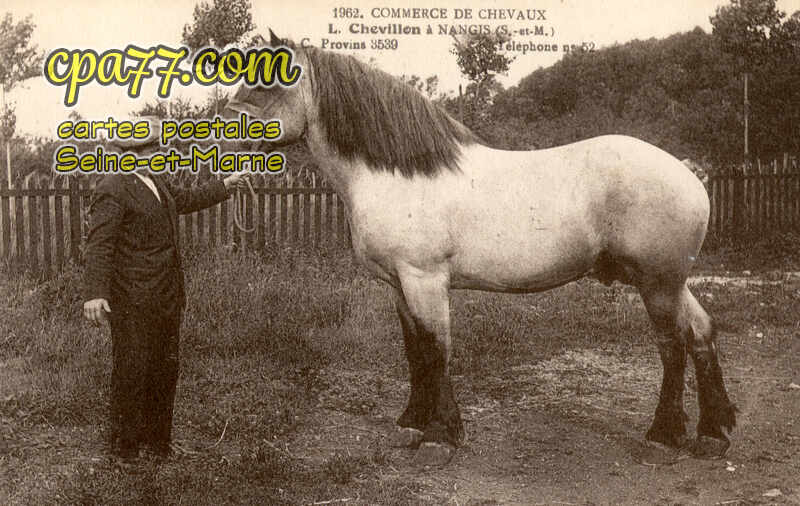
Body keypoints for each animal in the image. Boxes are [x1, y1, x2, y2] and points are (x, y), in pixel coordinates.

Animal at [223, 33, 737, 466]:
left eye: (267, 81)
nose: (218, 132)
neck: (400, 175)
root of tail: (689, 172)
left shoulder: (425, 280)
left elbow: (436, 351)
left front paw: (439, 439)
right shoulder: (398, 285)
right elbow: (414, 350)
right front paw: (411, 425)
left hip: (657, 283)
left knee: (673, 346)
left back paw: (662, 438)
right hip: (674, 281)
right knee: (701, 332)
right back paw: (713, 433)